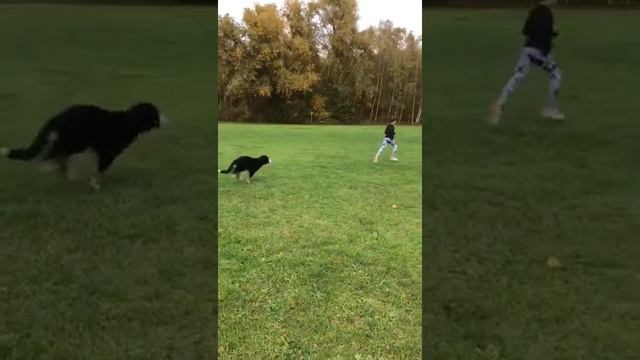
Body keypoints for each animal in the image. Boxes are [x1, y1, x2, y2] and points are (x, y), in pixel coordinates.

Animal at [0, 101, 169, 190]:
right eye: (156, 112)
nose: (166, 118)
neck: (127, 123)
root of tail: (57, 117)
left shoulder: (103, 152)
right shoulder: (106, 153)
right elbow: (100, 169)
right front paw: (96, 184)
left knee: (58, 155)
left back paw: (62, 170)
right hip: (74, 140)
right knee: (52, 153)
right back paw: (53, 167)